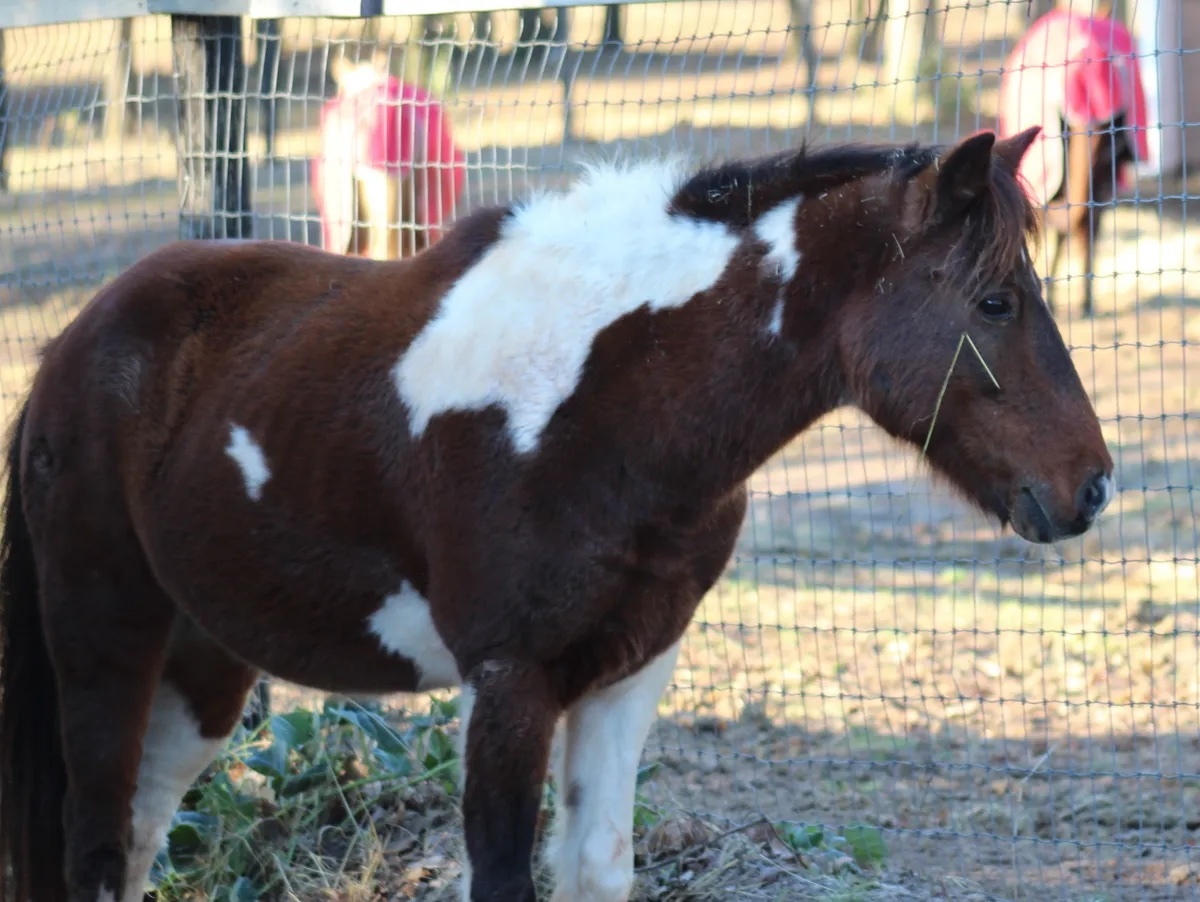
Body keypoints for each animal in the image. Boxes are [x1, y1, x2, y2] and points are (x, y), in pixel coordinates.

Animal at [0, 124, 1114, 902]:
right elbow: (504, 875)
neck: (601, 404)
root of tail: (73, 346)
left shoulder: (628, 674)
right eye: (996, 303)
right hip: (104, 645)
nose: (1093, 486)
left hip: (203, 671)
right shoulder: (510, 681)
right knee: (95, 846)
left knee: (137, 837)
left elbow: (598, 867)